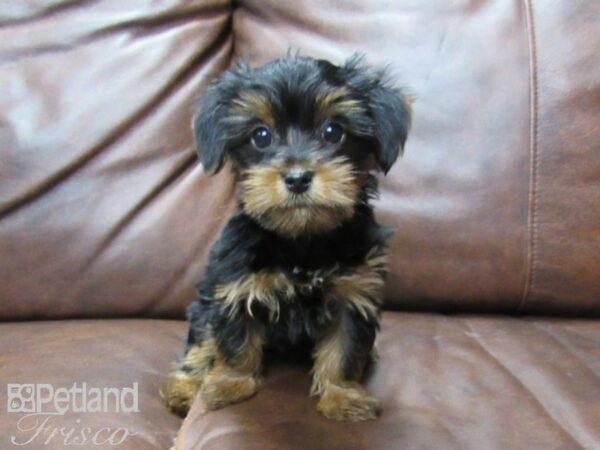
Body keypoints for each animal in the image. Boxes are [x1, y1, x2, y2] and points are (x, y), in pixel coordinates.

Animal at [162, 54, 410, 420]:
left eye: (333, 131)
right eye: (261, 136)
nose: (297, 178)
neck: (301, 239)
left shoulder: (354, 291)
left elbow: (345, 348)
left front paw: (342, 396)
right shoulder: (235, 285)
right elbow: (235, 341)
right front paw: (230, 384)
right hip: (205, 302)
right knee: (202, 339)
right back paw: (186, 387)